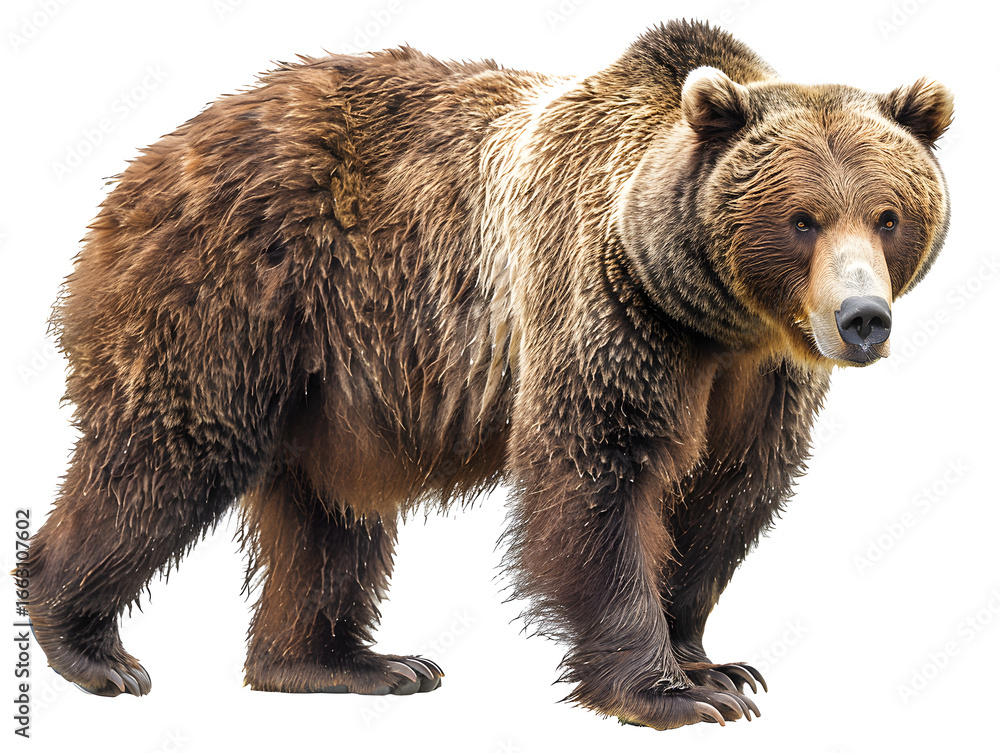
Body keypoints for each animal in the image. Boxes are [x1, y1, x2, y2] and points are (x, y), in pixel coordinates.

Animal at [22, 20, 952, 730]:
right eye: (801, 219)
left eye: (888, 215)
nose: (862, 319)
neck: (712, 311)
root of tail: (149, 160)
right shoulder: (604, 301)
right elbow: (600, 472)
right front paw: (669, 693)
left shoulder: (758, 376)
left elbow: (726, 492)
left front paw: (715, 666)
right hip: (232, 294)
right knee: (167, 455)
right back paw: (91, 646)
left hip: (331, 378)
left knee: (330, 516)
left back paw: (349, 662)